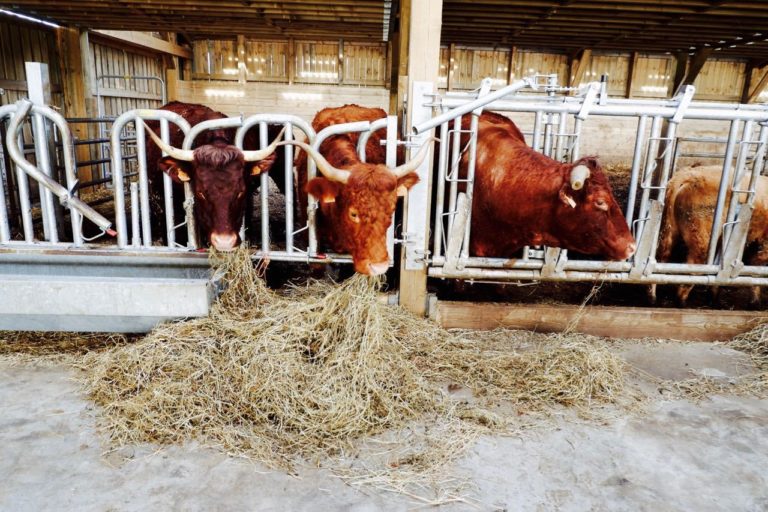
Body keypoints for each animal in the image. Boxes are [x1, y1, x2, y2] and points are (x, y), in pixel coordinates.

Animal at [656, 166, 768, 306]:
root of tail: (689, 175)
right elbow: (756, 269)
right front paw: (755, 303)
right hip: (702, 236)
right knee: (693, 266)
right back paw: (682, 303)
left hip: (669, 229)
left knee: (662, 255)